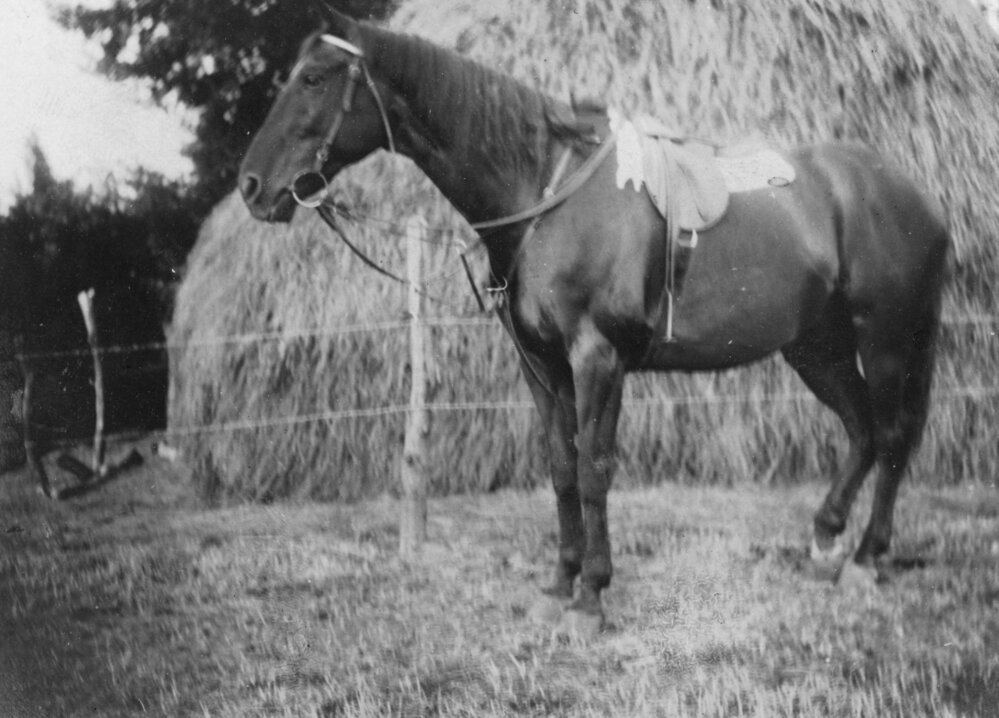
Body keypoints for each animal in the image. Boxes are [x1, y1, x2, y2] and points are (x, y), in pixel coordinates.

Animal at [238, 4, 950, 631]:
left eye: (314, 78)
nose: (251, 187)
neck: (545, 196)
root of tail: (915, 196)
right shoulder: (541, 363)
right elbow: (560, 468)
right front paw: (561, 584)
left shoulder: (597, 358)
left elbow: (593, 469)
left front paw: (591, 597)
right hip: (815, 348)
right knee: (862, 432)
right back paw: (826, 539)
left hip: (886, 339)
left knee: (891, 437)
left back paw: (866, 558)